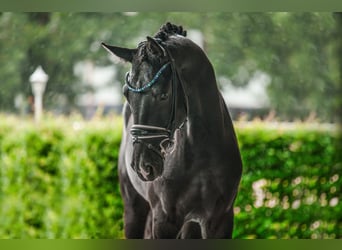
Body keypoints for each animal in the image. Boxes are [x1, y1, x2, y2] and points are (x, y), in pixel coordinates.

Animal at [102, 23, 243, 238]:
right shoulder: (164, 220)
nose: (142, 166)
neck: (201, 149)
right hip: (134, 207)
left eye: (163, 95)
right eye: (127, 94)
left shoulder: (220, 220)